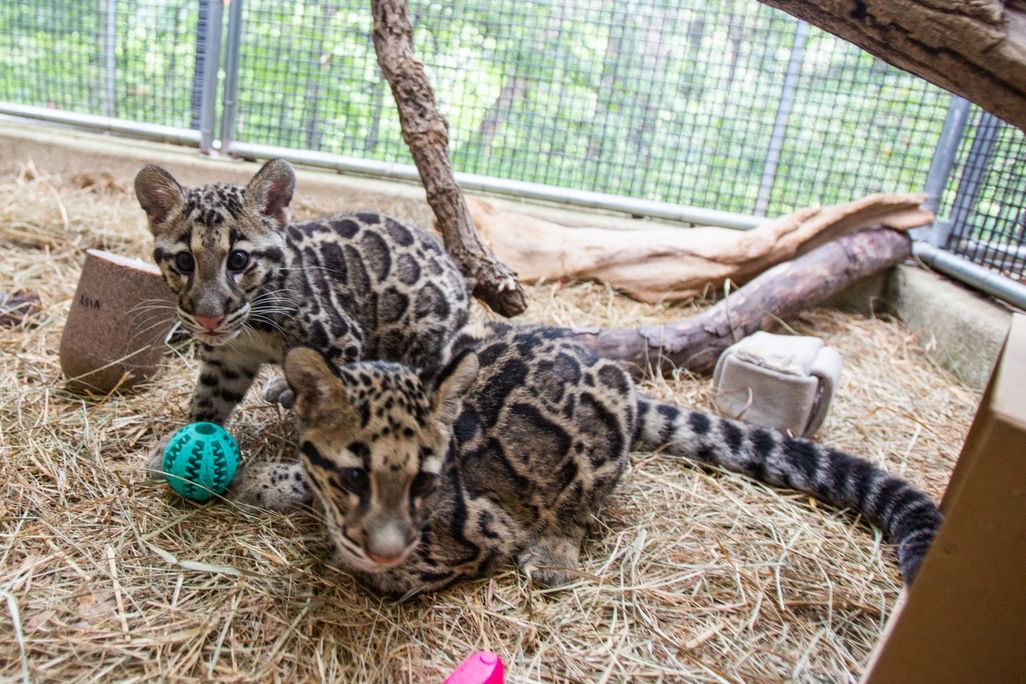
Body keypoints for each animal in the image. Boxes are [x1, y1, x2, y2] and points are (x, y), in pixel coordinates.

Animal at [134, 159, 469, 443]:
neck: (254, 324)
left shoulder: (341, 340)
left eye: (239, 260)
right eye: (184, 262)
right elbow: (208, 398)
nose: (209, 318)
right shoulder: (228, 357)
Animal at [230, 321, 941, 597]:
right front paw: (278, 479)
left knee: (579, 508)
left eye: (426, 482)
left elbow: (399, 571)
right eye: (354, 474)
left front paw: (371, 564)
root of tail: (620, 377)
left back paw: (554, 551)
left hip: (592, 458)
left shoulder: (476, 532)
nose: (386, 544)